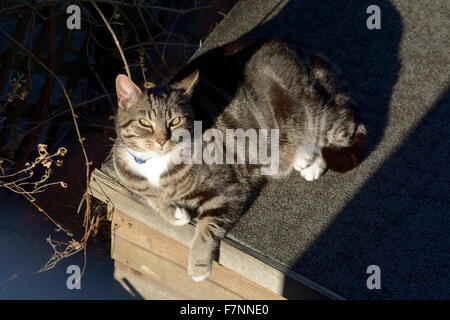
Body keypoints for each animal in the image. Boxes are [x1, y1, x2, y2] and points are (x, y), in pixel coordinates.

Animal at [111, 37, 366, 282]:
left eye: (175, 121)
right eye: (145, 123)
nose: (163, 140)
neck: (155, 164)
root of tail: (309, 52)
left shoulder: (227, 191)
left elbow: (206, 229)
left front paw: (198, 267)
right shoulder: (131, 177)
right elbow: (152, 199)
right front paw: (175, 214)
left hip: (313, 116)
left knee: (346, 127)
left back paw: (314, 160)